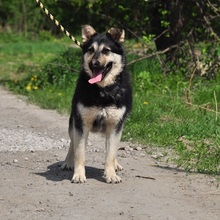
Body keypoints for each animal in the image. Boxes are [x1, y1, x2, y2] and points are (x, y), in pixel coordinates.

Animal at [61, 24, 131, 183]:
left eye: (106, 50)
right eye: (90, 50)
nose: (94, 63)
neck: (103, 90)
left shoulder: (115, 125)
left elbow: (110, 154)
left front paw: (111, 174)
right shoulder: (81, 124)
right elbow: (79, 153)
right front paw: (79, 174)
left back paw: (116, 164)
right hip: (73, 123)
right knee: (72, 143)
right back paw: (68, 162)